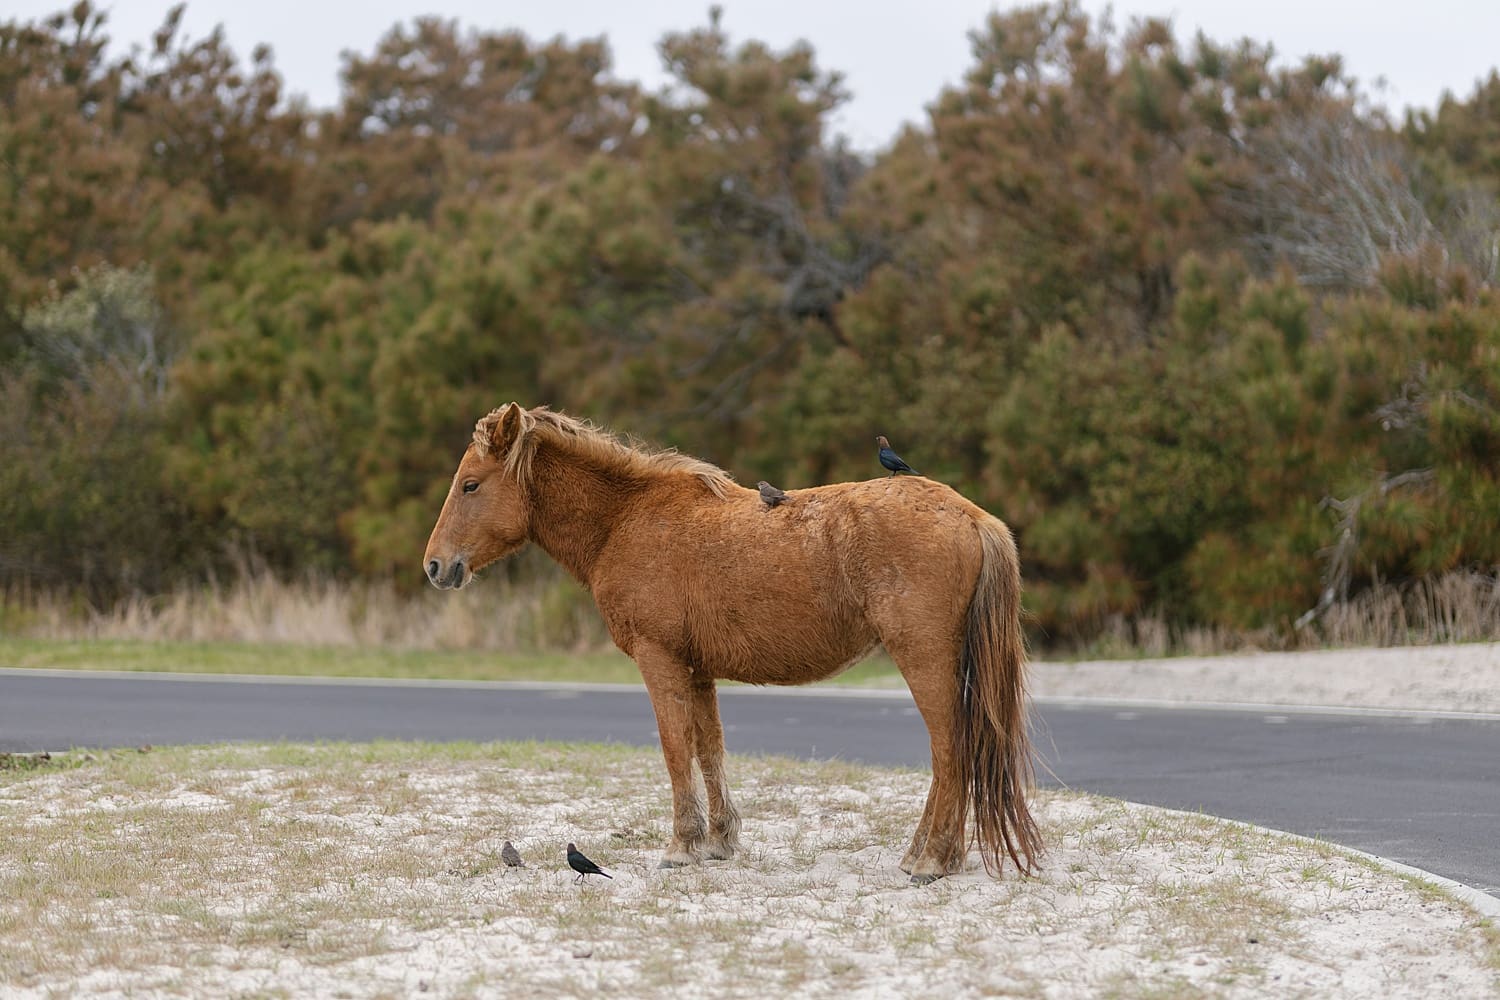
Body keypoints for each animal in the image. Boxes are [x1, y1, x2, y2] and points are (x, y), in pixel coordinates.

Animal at [423, 403, 1042, 882]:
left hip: (924, 661)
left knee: (949, 750)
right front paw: (719, 842)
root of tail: (973, 517)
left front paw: (681, 848)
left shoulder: (660, 662)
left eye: (471, 484)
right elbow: (709, 751)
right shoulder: (697, 671)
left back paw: (931, 860)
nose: (435, 565)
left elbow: (676, 751)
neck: (625, 520)